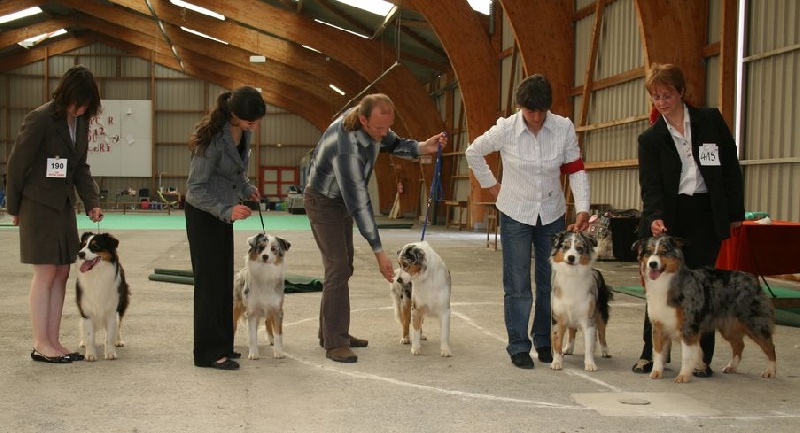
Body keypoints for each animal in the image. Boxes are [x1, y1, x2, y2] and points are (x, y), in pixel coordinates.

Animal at [76, 231, 131, 360]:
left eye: (95, 246)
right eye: (83, 245)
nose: (80, 254)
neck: (97, 275)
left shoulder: (112, 310)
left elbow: (110, 336)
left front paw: (110, 353)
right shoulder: (86, 310)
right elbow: (89, 334)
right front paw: (90, 354)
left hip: (122, 304)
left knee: (118, 324)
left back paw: (118, 340)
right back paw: (83, 342)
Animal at [552, 231, 612, 370]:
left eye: (579, 248)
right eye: (565, 246)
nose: (571, 257)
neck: (572, 274)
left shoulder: (588, 317)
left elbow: (589, 345)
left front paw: (590, 364)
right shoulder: (559, 316)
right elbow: (557, 340)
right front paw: (556, 362)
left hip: (601, 311)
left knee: (602, 331)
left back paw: (605, 350)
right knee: (572, 331)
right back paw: (568, 348)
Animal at [636, 233, 776, 382]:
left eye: (664, 252)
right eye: (648, 252)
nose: (652, 264)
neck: (665, 283)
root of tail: (753, 279)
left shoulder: (688, 326)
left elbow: (687, 355)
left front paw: (683, 376)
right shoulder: (658, 325)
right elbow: (658, 352)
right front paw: (656, 372)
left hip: (754, 323)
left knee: (770, 346)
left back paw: (770, 371)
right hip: (728, 327)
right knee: (739, 345)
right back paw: (732, 367)